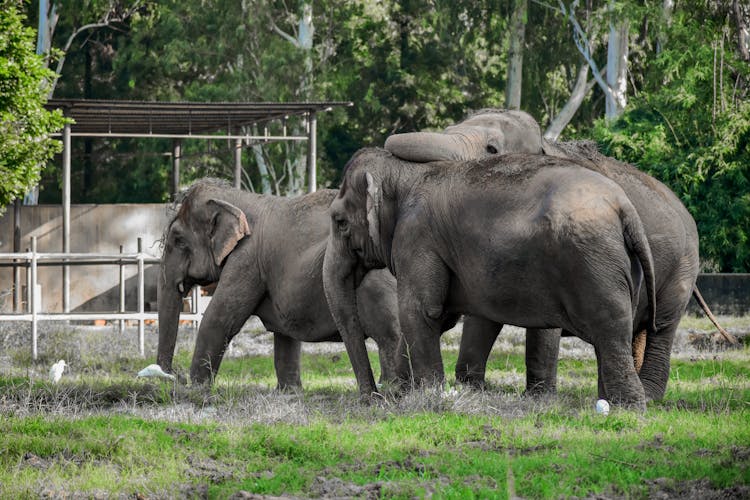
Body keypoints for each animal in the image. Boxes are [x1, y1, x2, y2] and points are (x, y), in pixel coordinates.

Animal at [157, 179, 406, 386]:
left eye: (178, 241)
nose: (173, 375)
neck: (238, 197)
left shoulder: (246, 259)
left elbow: (218, 319)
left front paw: (196, 391)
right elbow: (285, 335)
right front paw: (290, 391)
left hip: (376, 286)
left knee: (389, 335)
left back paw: (391, 390)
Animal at [324, 149, 656, 410]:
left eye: (339, 221)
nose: (373, 397)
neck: (406, 173)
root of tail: (625, 207)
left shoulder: (417, 237)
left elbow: (418, 311)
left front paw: (428, 398)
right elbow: (434, 316)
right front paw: (406, 394)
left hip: (593, 264)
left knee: (609, 330)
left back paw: (627, 409)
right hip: (620, 268)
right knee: (613, 334)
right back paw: (608, 403)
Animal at [384, 107, 724, 400]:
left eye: (492, 149)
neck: (546, 145)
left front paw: (539, 397)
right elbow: (482, 314)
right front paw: (469, 388)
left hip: (681, 266)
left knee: (662, 327)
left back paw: (650, 396)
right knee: (632, 329)